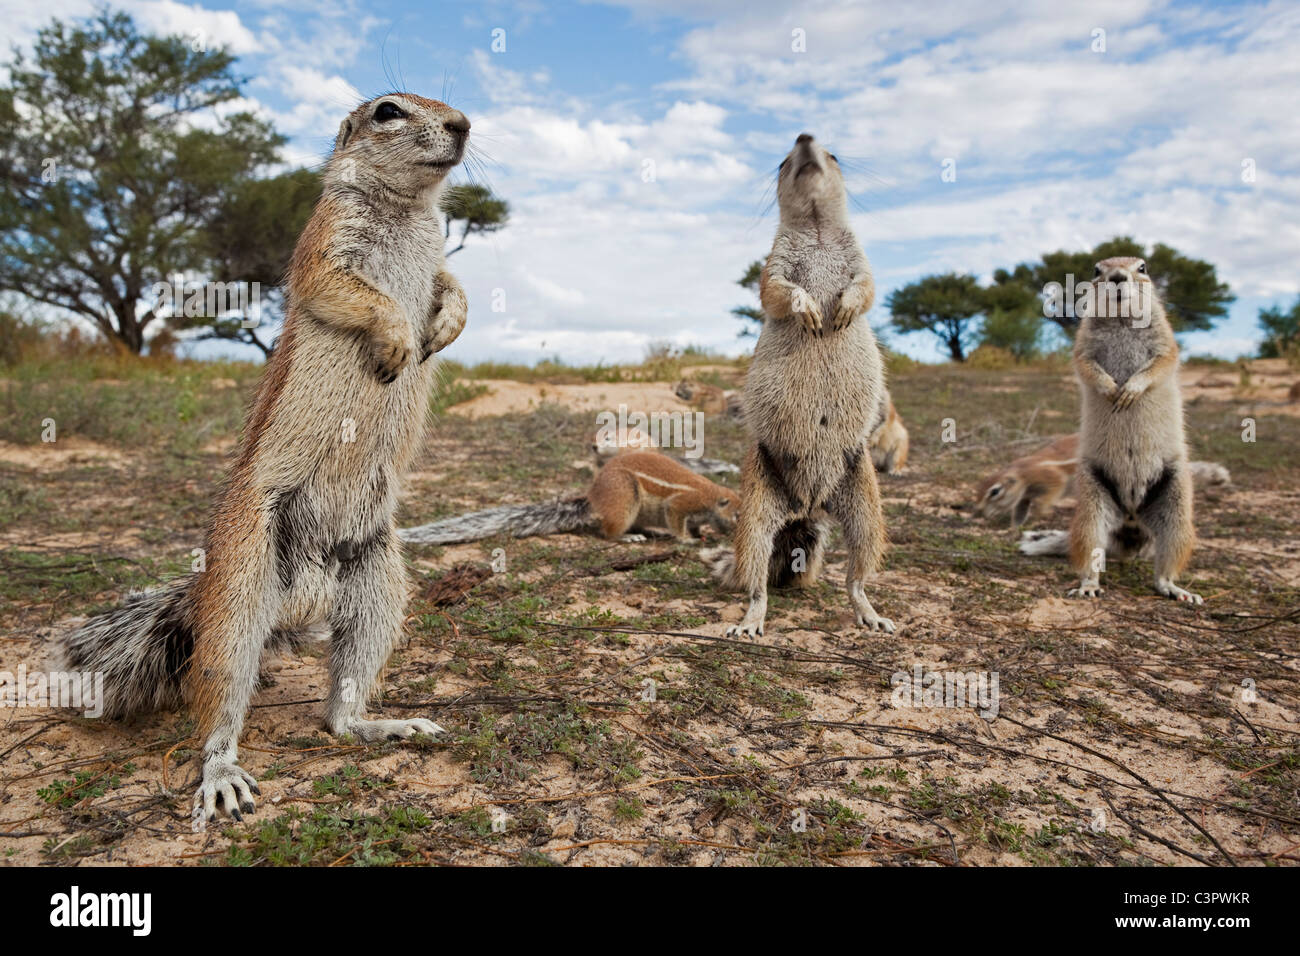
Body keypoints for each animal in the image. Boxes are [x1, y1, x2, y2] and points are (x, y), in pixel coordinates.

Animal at [58, 95, 473, 832]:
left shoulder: (437, 259)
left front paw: (447, 323)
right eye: (388, 111)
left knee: (339, 710)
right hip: (243, 581)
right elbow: (353, 292)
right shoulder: (324, 248)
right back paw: (221, 773)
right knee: (219, 699)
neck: (406, 209)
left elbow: (454, 283)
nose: (463, 126)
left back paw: (386, 725)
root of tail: (303, 597)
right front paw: (399, 339)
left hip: (378, 581)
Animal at [1066, 257, 1196, 600]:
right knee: (1090, 549)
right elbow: (1086, 365)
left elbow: (1161, 363)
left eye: (1143, 267)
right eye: (1096, 270)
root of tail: (1132, 516)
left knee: (1165, 567)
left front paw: (1130, 389)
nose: (1117, 277)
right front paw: (1111, 389)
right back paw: (1088, 585)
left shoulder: (1166, 342)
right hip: (1090, 506)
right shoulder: (1083, 345)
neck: (1123, 320)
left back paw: (1176, 589)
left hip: (1178, 512)